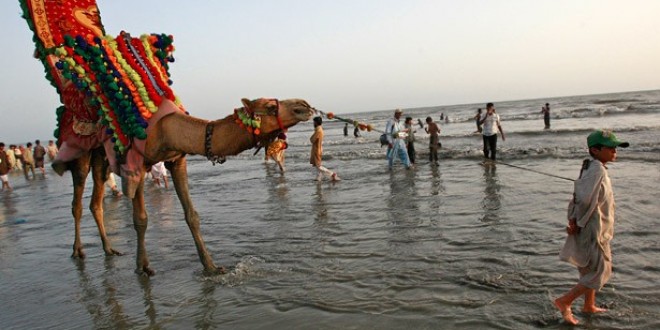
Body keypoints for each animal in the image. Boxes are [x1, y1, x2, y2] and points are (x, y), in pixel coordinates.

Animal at [20, 0, 314, 274]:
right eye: (271, 107)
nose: (304, 105)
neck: (167, 127)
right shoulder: (136, 164)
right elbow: (140, 218)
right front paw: (143, 267)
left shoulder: (176, 159)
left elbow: (192, 215)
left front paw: (211, 266)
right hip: (79, 150)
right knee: (77, 202)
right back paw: (78, 250)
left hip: (101, 158)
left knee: (96, 203)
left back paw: (109, 249)